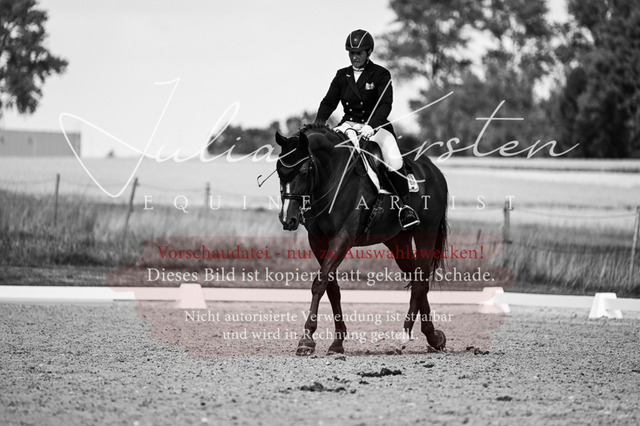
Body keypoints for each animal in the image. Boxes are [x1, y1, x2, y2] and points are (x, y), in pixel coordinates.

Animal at [274, 125, 448, 355]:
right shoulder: (318, 242)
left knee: (420, 280)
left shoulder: (343, 238)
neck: (332, 178)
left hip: (425, 232)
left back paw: (403, 338)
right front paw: (337, 342)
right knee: (416, 277)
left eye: (303, 171)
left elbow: (319, 283)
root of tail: (434, 170)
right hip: (397, 241)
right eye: (279, 171)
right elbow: (331, 287)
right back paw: (434, 337)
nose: (288, 219)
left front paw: (307, 340)